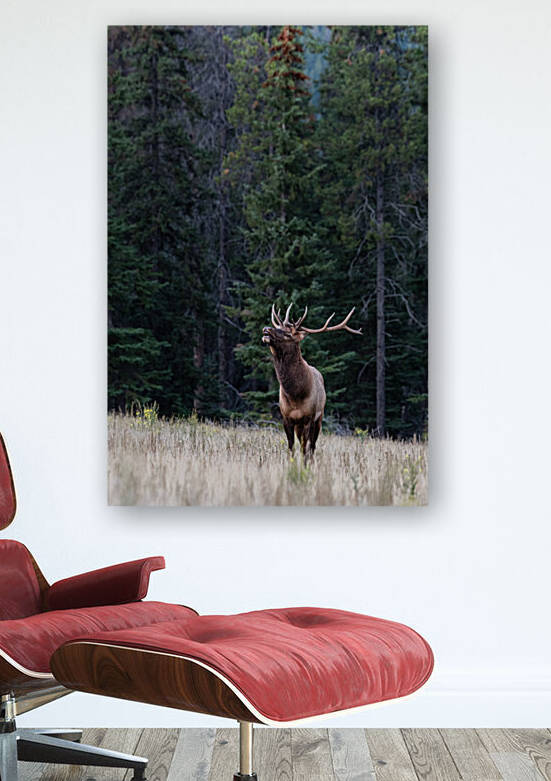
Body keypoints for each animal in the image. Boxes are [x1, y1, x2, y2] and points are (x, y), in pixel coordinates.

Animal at [262, 303, 361, 460]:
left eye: (288, 334)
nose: (266, 329)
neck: (294, 395)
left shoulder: (309, 417)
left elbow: (305, 448)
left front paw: (304, 463)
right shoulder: (286, 418)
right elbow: (291, 447)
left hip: (319, 418)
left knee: (312, 445)